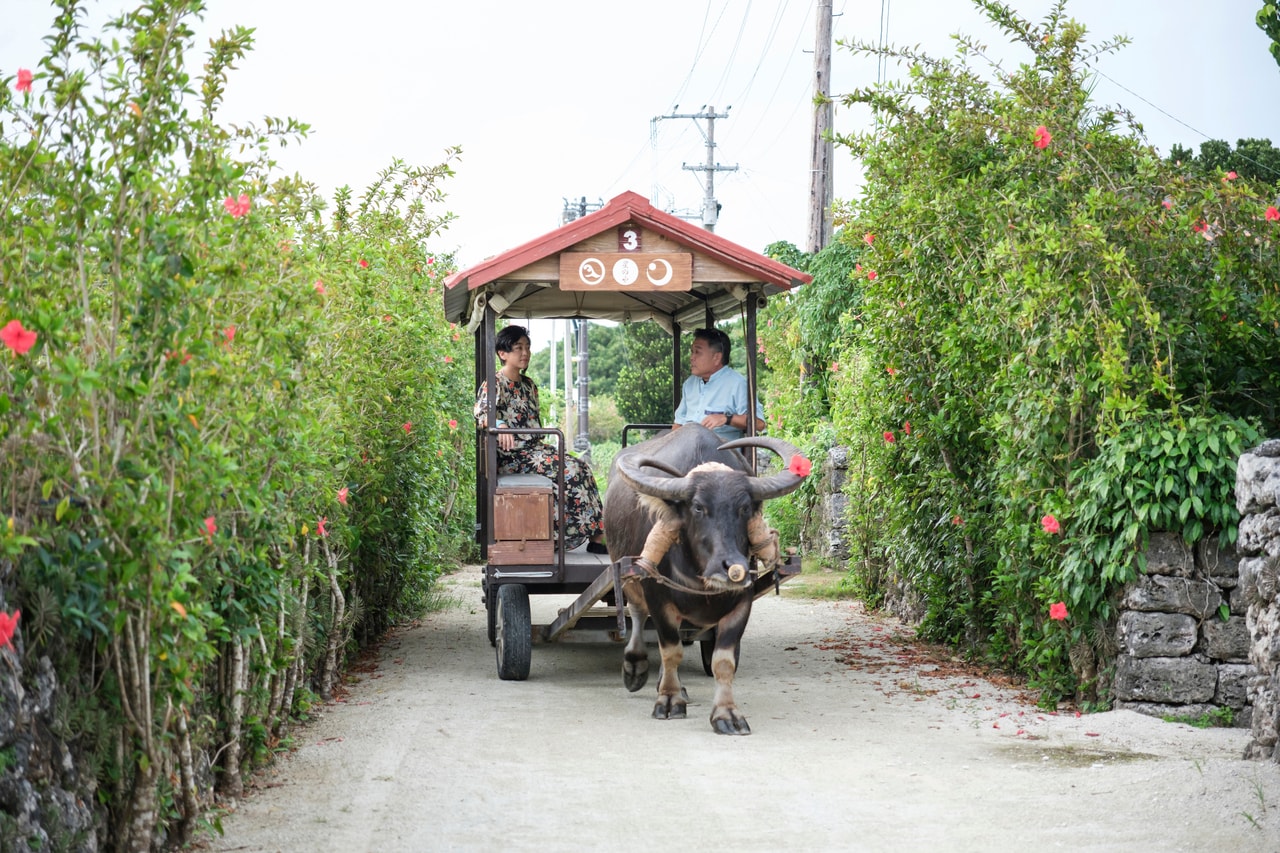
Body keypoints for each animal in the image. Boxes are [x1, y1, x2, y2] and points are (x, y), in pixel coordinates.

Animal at [601, 425, 803, 732]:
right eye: (698, 507)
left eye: (745, 508)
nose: (731, 567)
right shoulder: (658, 598)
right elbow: (670, 650)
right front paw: (669, 700)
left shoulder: (741, 603)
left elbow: (724, 661)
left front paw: (726, 714)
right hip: (629, 574)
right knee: (637, 615)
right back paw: (635, 667)